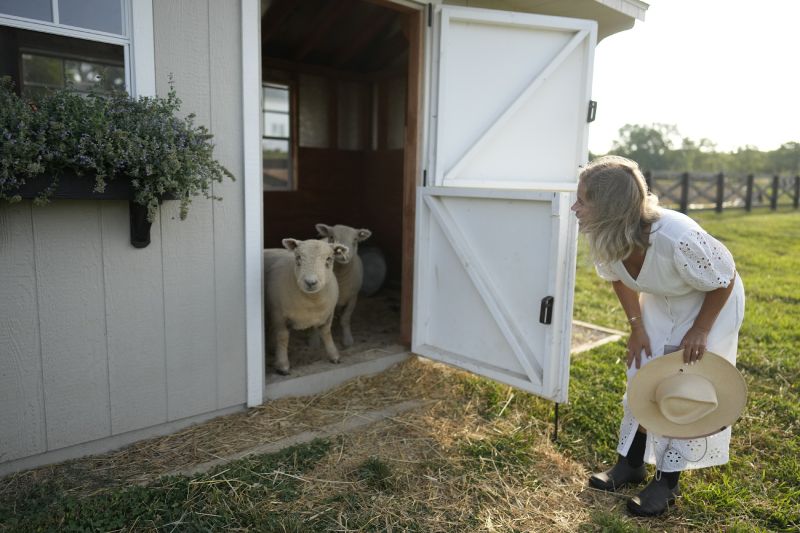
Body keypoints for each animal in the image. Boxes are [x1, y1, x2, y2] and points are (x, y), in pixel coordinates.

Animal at [264, 238, 349, 375]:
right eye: (298, 257)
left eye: (329, 259)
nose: (310, 282)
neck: (312, 301)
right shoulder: (279, 315)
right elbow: (282, 337)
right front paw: (282, 365)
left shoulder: (329, 312)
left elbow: (326, 332)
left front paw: (334, 356)